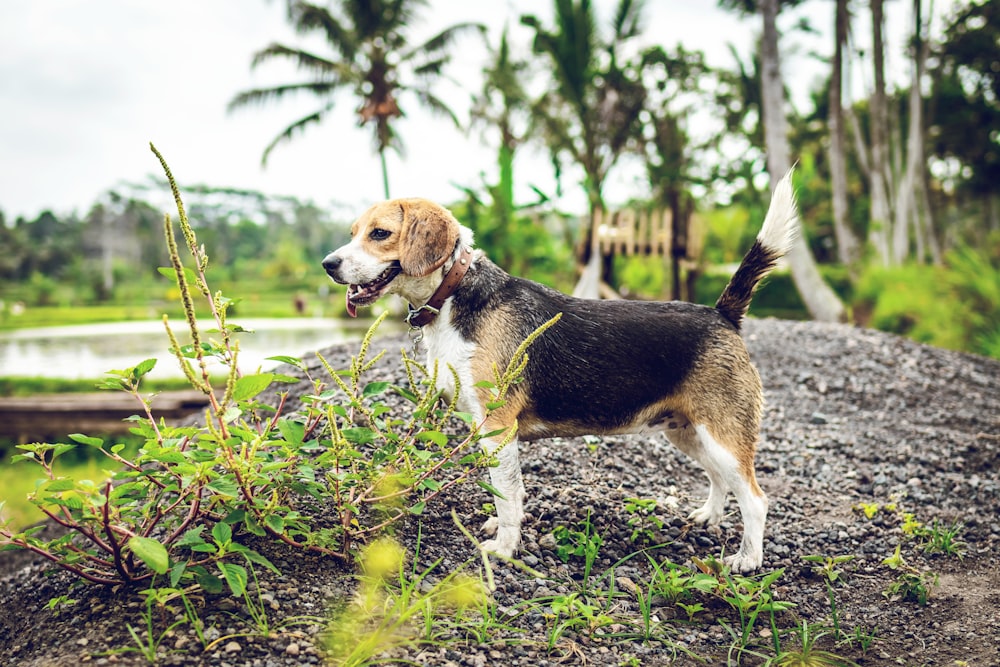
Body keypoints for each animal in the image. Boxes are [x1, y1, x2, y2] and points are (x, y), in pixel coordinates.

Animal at [322, 172, 796, 576]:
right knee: (720, 479)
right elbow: (505, 493)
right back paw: (708, 516)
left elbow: (507, 493)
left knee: (756, 499)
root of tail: (722, 314)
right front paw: (503, 529)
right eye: (353, 232)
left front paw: (504, 548)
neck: (455, 291)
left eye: (379, 234)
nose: (328, 264)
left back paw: (747, 559)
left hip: (721, 434)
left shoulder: (497, 427)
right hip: (688, 432)